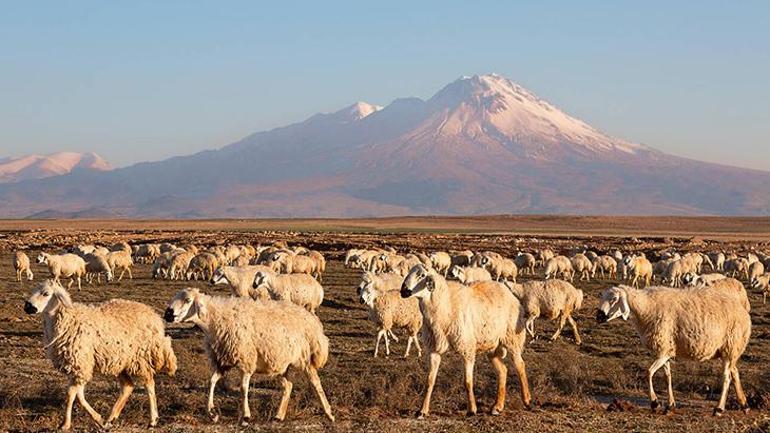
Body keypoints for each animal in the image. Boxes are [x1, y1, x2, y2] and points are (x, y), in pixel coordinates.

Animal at [24, 280, 177, 428]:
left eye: (46, 293)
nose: (27, 306)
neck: (68, 320)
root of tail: (154, 316)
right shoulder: (79, 367)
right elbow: (79, 396)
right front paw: (99, 420)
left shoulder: (81, 364)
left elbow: (71, 394)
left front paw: (65, 424)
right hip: (120, 361)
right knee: (128, 386)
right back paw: (111, 418)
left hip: (140, 358)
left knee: (149, 383)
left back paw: (152, 420)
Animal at [164, 286, 332, 422]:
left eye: (187, 300)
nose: (167, 314)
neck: (215, 320)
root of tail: (312, 321)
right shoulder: (223, 361)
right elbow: (212, 382)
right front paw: (212, 412)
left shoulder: (246, 360)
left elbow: (243, 387)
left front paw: (245, 416)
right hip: (279, 364)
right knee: (288, 385)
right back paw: (279, 416)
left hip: (305, 359)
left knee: (316, 383)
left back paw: (329, 413)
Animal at [396, 264, 528, 418]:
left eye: (422, 275)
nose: (403, 291)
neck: (445, 304)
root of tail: (508, 293)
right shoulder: (434, 348)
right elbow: (430, 380)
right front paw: (423, 410)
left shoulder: (467, 348)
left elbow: (467, 381)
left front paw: (472, 409)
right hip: (492, 345)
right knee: (503, 370)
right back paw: (497, 406)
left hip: (512, 338)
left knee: (520, 365)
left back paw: (526, 400)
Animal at [592, 286, 752, 414]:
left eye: (614, 299)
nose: (598, 317)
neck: (645, 308)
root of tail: (744, 313)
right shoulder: (666, 350)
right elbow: (667, 377)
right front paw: (670, 405)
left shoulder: (663, 351)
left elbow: (648, 373)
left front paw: (655, 403)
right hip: (730, 351)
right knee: (734, 372)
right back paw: (744, 404)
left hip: (730, 348)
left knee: (727, 377)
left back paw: (719, 409)